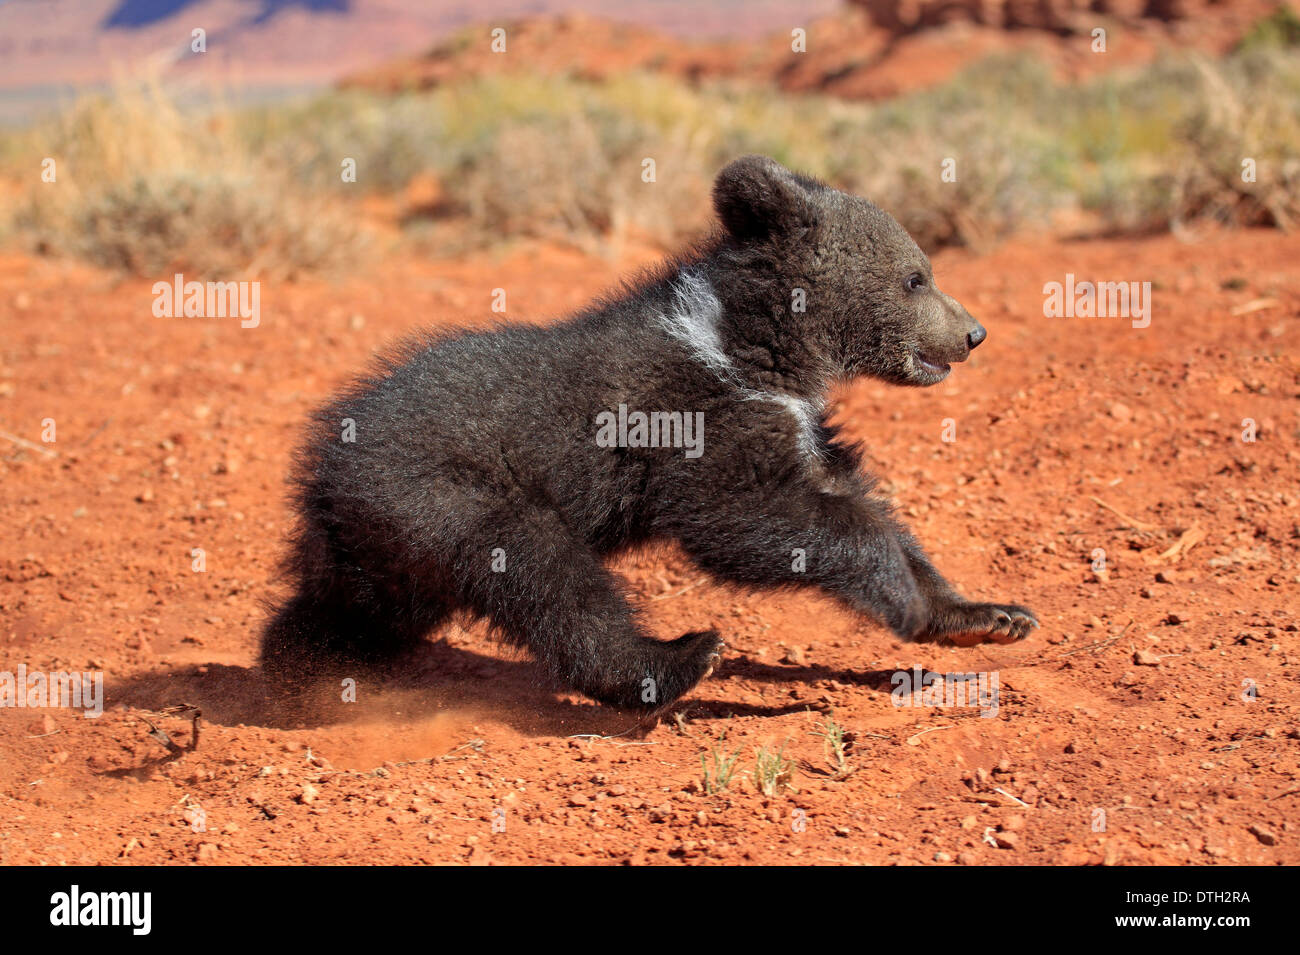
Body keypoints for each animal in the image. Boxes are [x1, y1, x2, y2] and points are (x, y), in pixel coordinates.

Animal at [261, 155, 1038, 711]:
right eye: (916, 277)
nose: (974, 332)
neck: (749, 347)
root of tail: (323, 464)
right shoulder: (695, 418)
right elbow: (747, 520)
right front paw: (905, 603)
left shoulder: (793, 423)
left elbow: (853, 497)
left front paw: (981, 612)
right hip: (447, 495)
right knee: (550, 578)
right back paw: (677, 659)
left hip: (391, 547)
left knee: (349, 610)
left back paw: (296, 668)